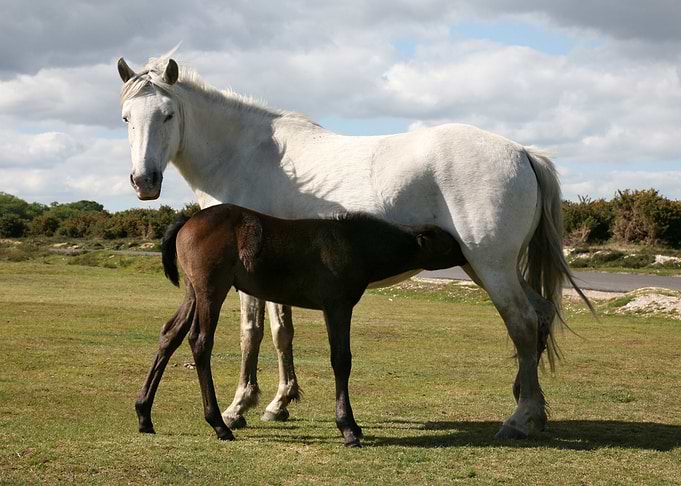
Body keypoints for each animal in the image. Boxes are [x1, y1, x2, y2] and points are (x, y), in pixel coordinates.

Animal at [135, 203, 466, 447]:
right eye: (448, 243)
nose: (466, 254)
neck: (354, 243)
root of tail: (189, 219)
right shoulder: (337, 306)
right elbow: (341, 360)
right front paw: (348, 429)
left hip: (193, 291)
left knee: (170, 335)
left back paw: (144, 415)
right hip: (211, 289)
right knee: (200, 342)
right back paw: (219, 424)